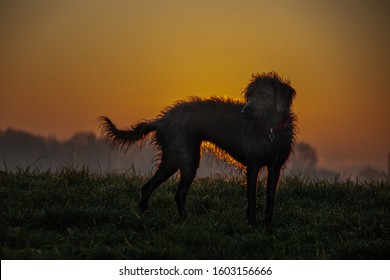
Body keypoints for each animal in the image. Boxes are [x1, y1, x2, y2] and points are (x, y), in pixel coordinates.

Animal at [100, 71, 296, 224]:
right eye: (250, 95)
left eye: (264, 95)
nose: (244, 111)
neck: (271, 130)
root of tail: (162, 120)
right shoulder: (253, 165)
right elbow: (252, 197)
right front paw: (252, 223)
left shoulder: (275, 167)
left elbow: (270, 197)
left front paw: (268, 223)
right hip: (187, 158)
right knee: (177, 193)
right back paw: (185, 220)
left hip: (173, 159)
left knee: (148, 187)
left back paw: (143, 216)